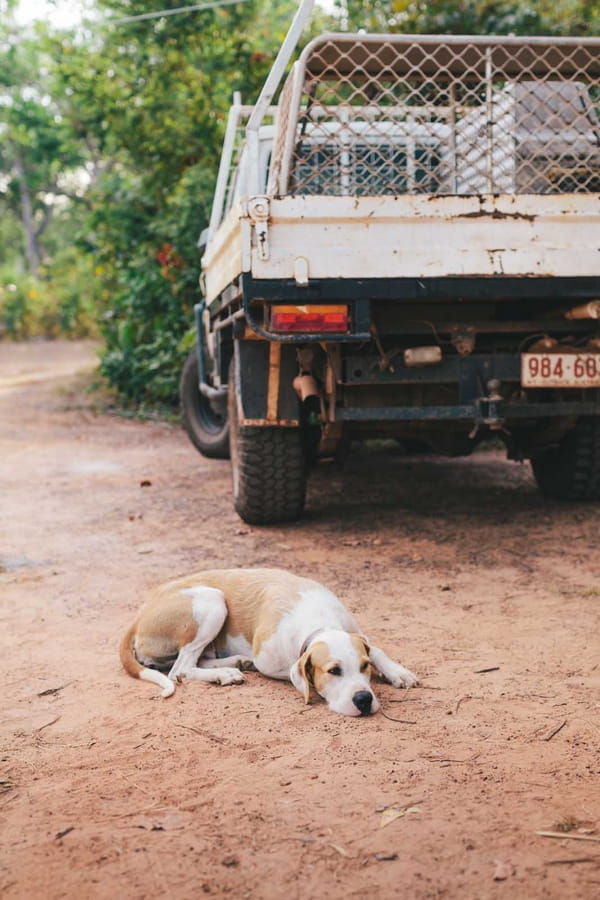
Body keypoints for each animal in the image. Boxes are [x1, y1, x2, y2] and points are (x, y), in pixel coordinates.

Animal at [118, 568, 418, 716]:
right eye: (333, 671)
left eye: (364, 667)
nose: (364, 699)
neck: (319, 622)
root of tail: (141, 613)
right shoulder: (273, 663)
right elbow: (295, 672)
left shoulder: (355, 632)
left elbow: (375, 648)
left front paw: (397, 672)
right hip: (211, 600)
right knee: (180, 669)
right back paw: (225, 673)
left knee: (196, 659)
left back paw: (235, 663)